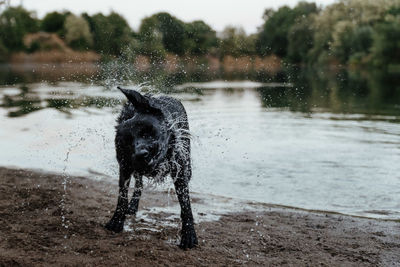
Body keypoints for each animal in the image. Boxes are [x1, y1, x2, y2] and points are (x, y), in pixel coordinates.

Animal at [105, 87, 198, 250]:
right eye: (128, 141)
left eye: (147, 132)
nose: (141, 154)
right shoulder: (124, 166)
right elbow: (122, 196)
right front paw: (117, 220)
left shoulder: (180, 171)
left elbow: (185, 204)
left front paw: (188, 234)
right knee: (139, 184)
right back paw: (133, 205)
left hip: (187, 164)